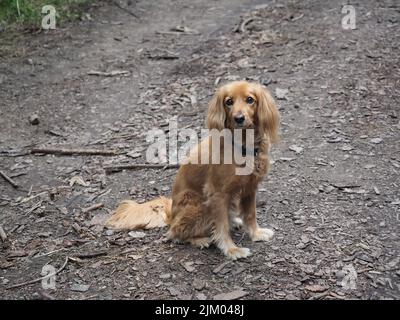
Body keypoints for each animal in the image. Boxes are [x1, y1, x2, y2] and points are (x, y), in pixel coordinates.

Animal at [108, 80, 280, 260]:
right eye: (229, 102)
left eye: (250, 99)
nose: (239, 118)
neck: (242, 146)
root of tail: (171, 214)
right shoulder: (217, 194)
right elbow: (221, 226)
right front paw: (231, 249)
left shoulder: (250, 188)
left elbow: (250, 214)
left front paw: (256, 233)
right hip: (199, 206)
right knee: (174, 233)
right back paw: (200, 240)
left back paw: (233, 221)